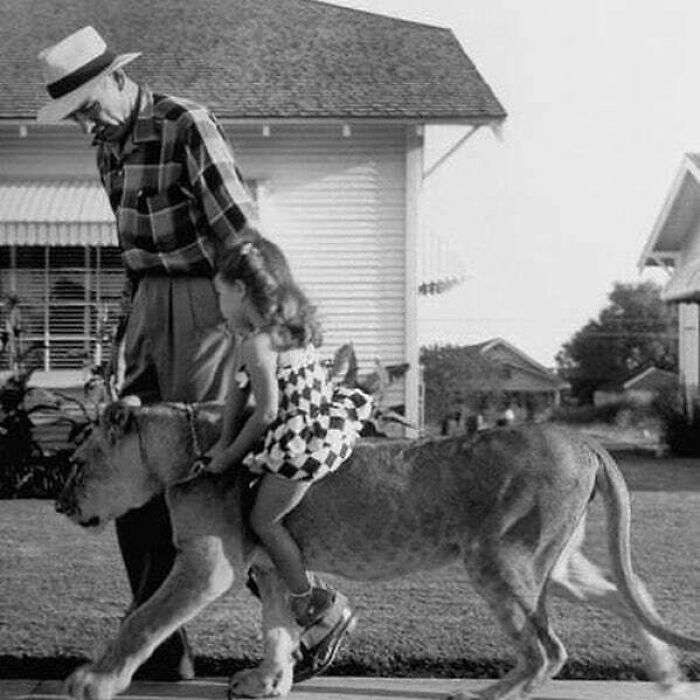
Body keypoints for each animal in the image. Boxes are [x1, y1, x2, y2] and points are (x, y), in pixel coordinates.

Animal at [54, 400, 700, 700]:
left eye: (78, 465)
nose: (59, 505)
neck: (180, 450)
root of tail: (580, 437)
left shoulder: (209, 565)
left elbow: (142, 619)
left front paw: (93, 680)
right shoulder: (269, 557)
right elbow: (276, 627)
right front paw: (269, 682)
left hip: (502, 558)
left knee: (550, 649)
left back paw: (486, 693)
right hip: (553, 563)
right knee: (626, 593)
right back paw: (668, 672)